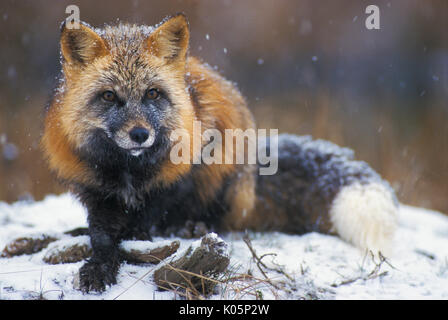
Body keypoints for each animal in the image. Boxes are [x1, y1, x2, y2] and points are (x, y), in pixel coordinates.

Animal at [42, 13, 398, 292]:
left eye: (152, 94)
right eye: (108, 96)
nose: (140, 134)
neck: (131, 170)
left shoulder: (179, 176)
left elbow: (146, 219)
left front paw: (138, 238)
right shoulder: (95, 190)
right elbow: (102, 237)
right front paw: (99, 266)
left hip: (226, 172)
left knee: (221, 220)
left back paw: (191, 227)